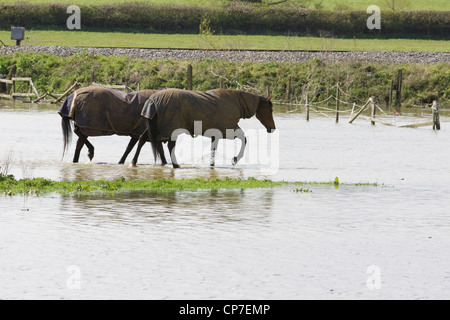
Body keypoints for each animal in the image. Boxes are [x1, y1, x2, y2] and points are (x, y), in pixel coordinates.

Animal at [141, 87, 276, 168]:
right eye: (270, 109)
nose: (273, 128)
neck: (238, 103)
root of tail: (151, 102)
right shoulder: (229, 129)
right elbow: (245, 139)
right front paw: (235, 159)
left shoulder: (216, 134)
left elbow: (213, 149)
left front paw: (212, 164)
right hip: (171, 129)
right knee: (169, 146)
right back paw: (175, 165)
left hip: (157, 129)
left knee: (145, 140)